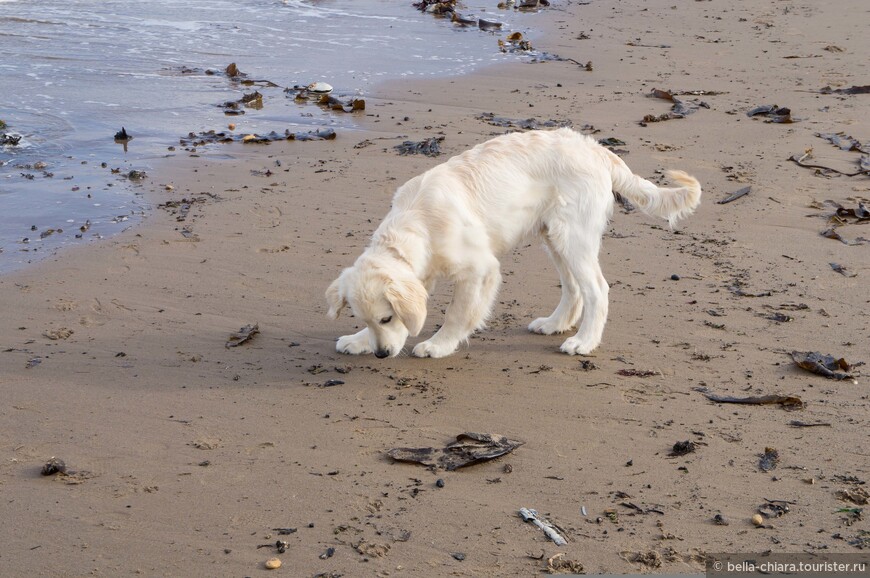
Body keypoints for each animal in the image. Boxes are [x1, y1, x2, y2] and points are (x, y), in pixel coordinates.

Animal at [328, 128, 700, 358]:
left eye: (387, 318)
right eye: (369, 321)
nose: (381, 354)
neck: (418, 220)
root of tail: (596, 149)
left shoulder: (480, 270)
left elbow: (458, 313)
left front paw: (439, 345)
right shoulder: (425, 273)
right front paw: (358, 341)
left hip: (572, 235)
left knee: (596, 290)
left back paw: (583, 341)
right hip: (554, 236)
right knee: (574, 288)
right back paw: (554, 325)